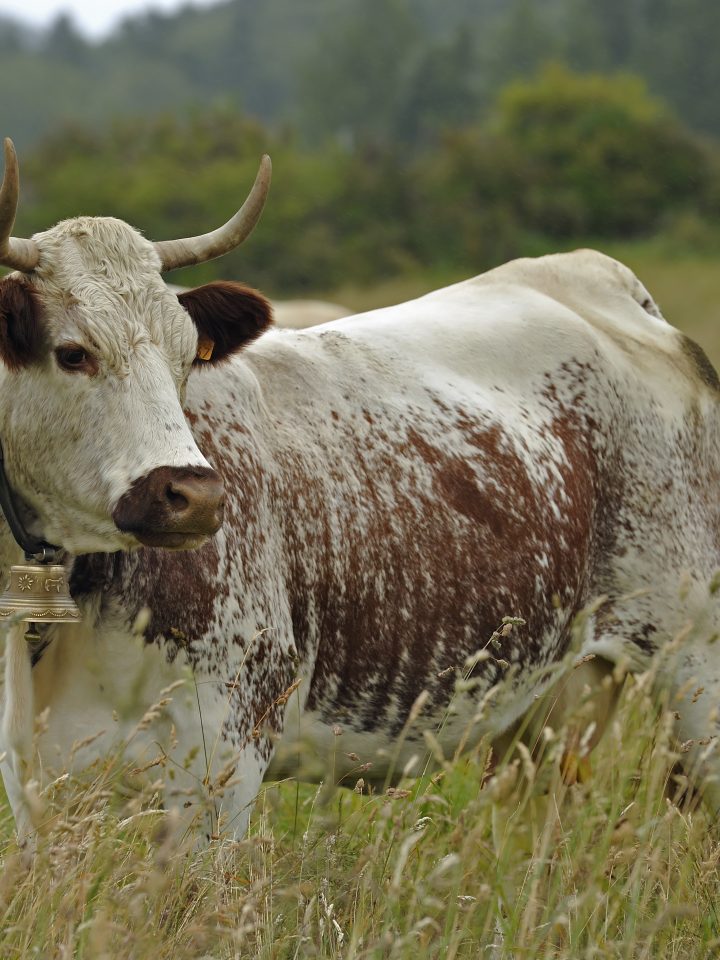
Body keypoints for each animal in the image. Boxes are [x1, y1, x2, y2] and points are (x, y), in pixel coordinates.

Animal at [0, 137, 720, 848]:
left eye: (187, 358)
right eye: (73, 352)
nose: (196, 496)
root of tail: (599, 281)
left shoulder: (226, 752)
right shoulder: (32, 782)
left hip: (696, 670)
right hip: (549, 714)